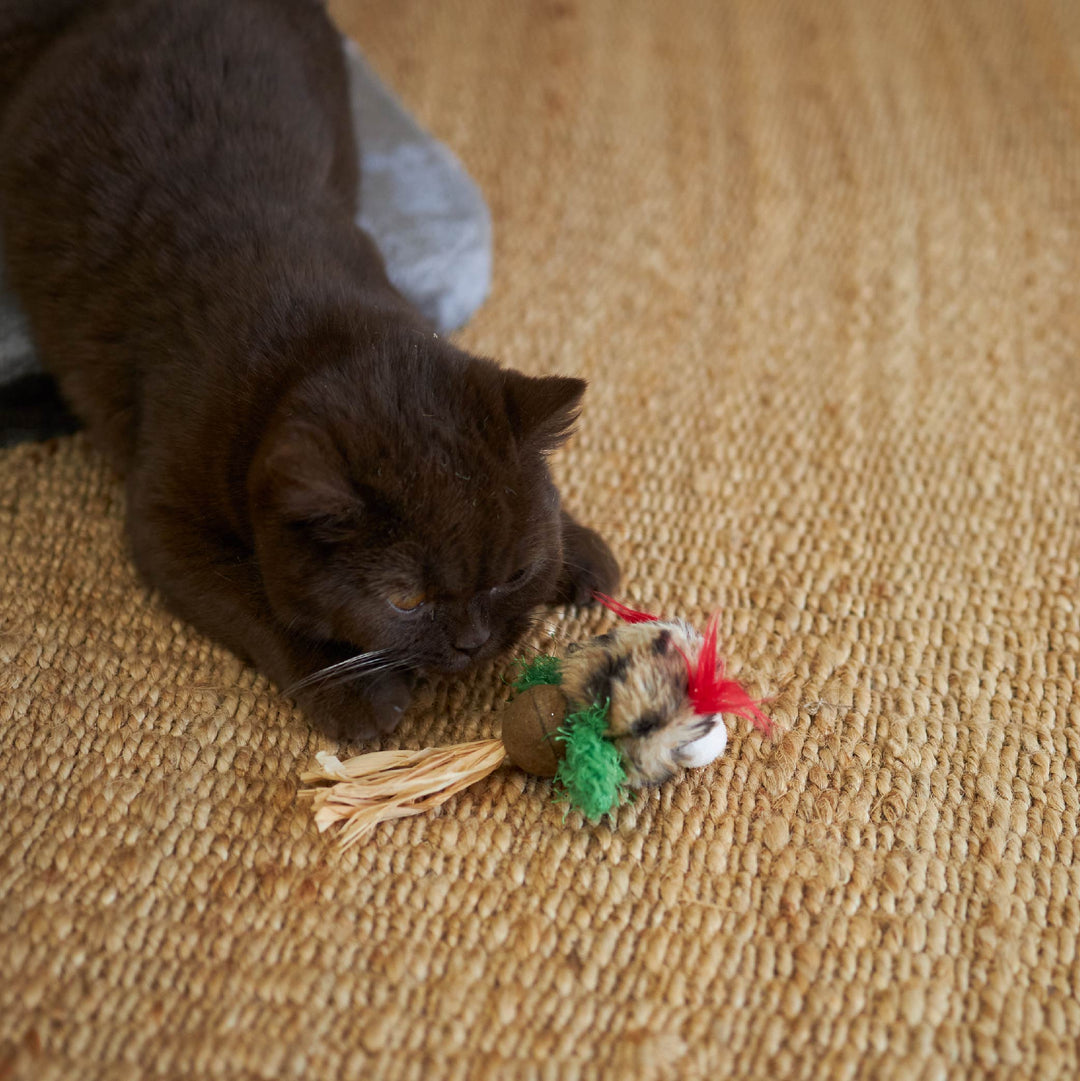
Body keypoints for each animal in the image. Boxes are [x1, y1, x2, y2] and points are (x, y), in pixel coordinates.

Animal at [0, 0, 618, 735]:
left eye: (513, 574)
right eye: (405, 601)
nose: (473, 642)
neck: (313, 322)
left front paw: (579, 549)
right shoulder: (164, 519)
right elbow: (255, 596)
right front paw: (359, 694)